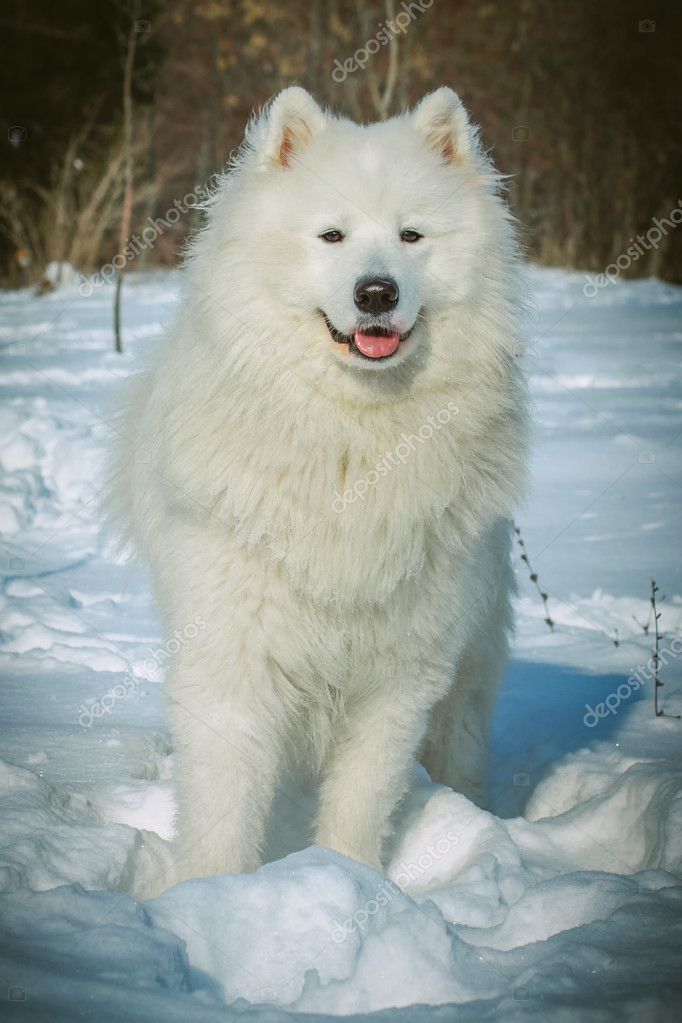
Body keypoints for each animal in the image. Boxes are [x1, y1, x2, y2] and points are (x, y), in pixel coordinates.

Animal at [109, 87, 531, 887]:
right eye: (331, 236)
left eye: (411, 235)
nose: (377, 292)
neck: (350, 446)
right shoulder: (233, 656)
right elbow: (223, 803)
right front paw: (211, 896)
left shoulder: (397, 675)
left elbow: (362, 798)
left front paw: (349, 880)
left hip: (466, 661)